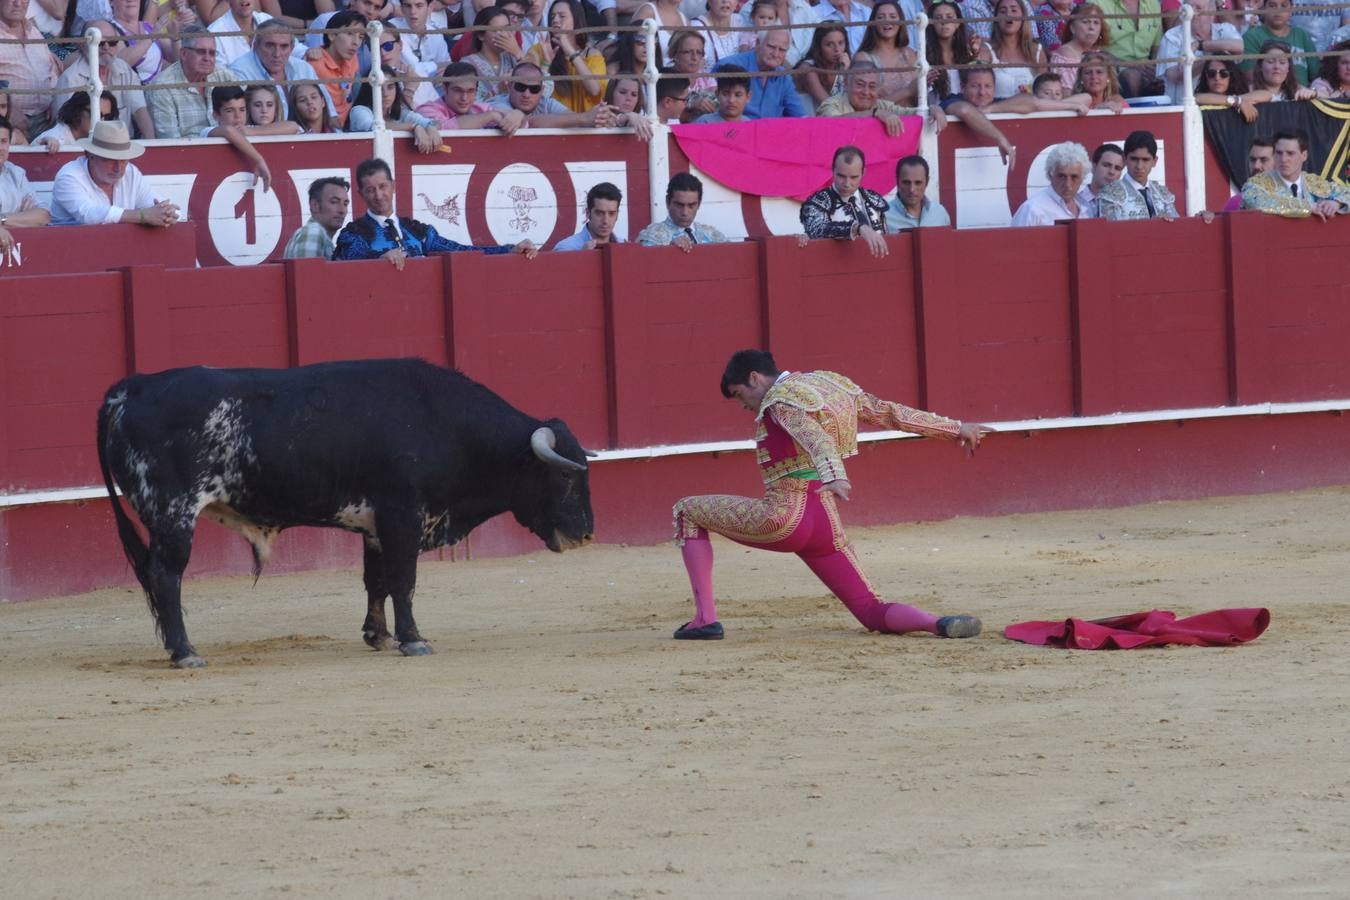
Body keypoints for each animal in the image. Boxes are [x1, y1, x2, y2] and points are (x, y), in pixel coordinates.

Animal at [97, 358, 594, 669]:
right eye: (565, 478)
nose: (586, 535)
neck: (443, 423)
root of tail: (131, 388)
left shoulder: (376, 526)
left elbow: (376, 581)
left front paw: (380, 636)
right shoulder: (403, 516)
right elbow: (404, 581)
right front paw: (414, 640)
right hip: (173, 514)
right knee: (166, 577)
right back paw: (185, 652)